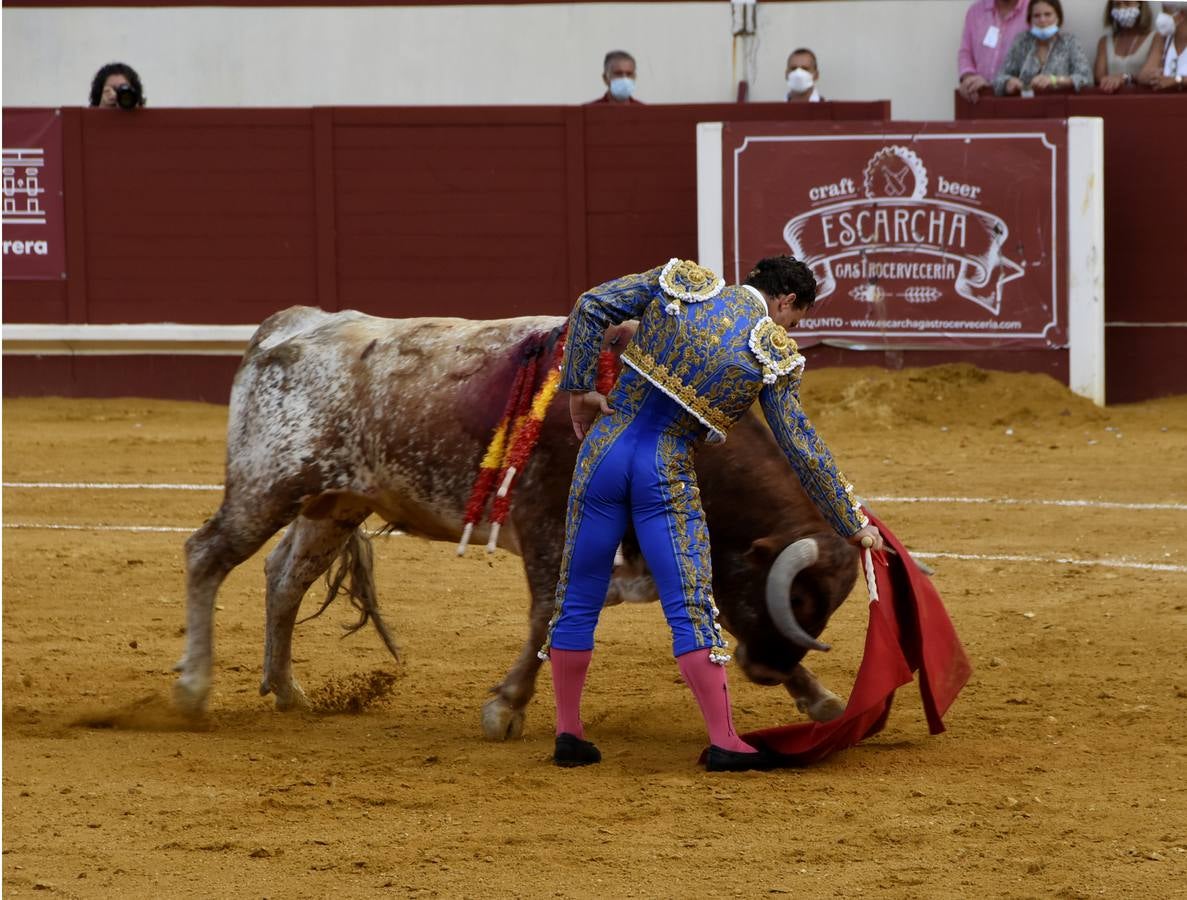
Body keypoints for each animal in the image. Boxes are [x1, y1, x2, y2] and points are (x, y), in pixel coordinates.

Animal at [175, 306, 859, 736]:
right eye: (791, 598)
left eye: (820, 609)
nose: (768, 671)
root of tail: (290, 325)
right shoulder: (550, 527)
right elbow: (548, 613)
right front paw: (505, 708)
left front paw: (819, 697)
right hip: (268, 485)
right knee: (207, 555)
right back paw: (193, 689)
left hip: (335, 503)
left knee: (286, 577)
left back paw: (288, 690)